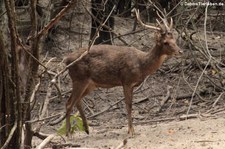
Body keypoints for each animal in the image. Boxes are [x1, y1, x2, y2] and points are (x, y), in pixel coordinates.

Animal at [63, 8, 183, 136]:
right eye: (165, 42)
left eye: (174, 40)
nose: (180, 51)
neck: (141, 65)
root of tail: (66, 60)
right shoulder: (126, 81)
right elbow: (128, 105)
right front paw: (131, 131)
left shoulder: (132, 85)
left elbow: (131, 105)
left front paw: (132, 129)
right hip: (79, 78)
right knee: (69, 103)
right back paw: (68, 133)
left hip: (90, 84)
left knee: (77, 101)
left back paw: (86, 129)